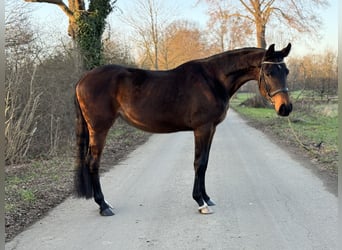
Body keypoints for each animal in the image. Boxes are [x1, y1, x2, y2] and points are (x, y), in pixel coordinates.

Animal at [74, 43, 292, 215]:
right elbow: (199, 162)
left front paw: (207, 197)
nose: (285, 108)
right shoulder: (202, 128)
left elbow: (205, 162)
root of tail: (82, 80)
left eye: (286, 71)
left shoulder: (211, 129)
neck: (214, 79)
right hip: (99, 129)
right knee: (93, 162)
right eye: (269, 72)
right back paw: (103, 206)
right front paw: (200, 202)